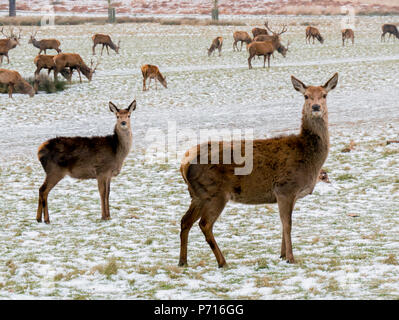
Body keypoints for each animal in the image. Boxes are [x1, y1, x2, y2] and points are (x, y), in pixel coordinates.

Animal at [180, 72, 340, 268]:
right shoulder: (285, 188)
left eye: (324, 95)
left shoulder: (289, 194)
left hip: (197, 195)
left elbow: (282, 224)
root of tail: (184, 163)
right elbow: (288, 224)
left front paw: (282, 255)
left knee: (185, 221)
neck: (309, 158)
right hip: (214, 192)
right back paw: (222, 261)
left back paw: (183, 261)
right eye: (306, 96)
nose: (316, 107)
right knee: (204, 224)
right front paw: (291, 258)